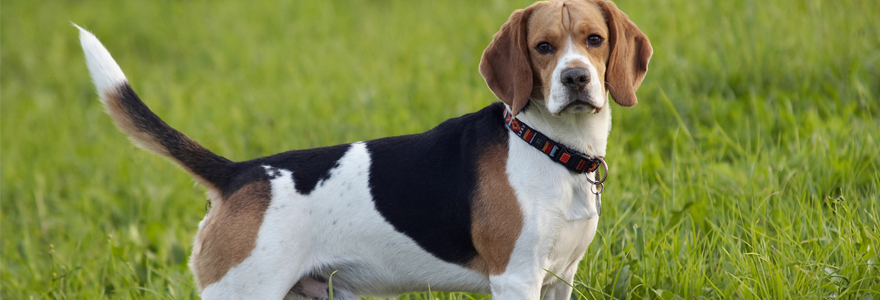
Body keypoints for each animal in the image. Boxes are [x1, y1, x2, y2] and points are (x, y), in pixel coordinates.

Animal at [77, 0, 648, 298]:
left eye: (595, 40)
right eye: (542, 48)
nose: (575, 79)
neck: (548, 146)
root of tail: (238, 173)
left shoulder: (559, 278)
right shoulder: (515, 279)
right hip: (244, 291)